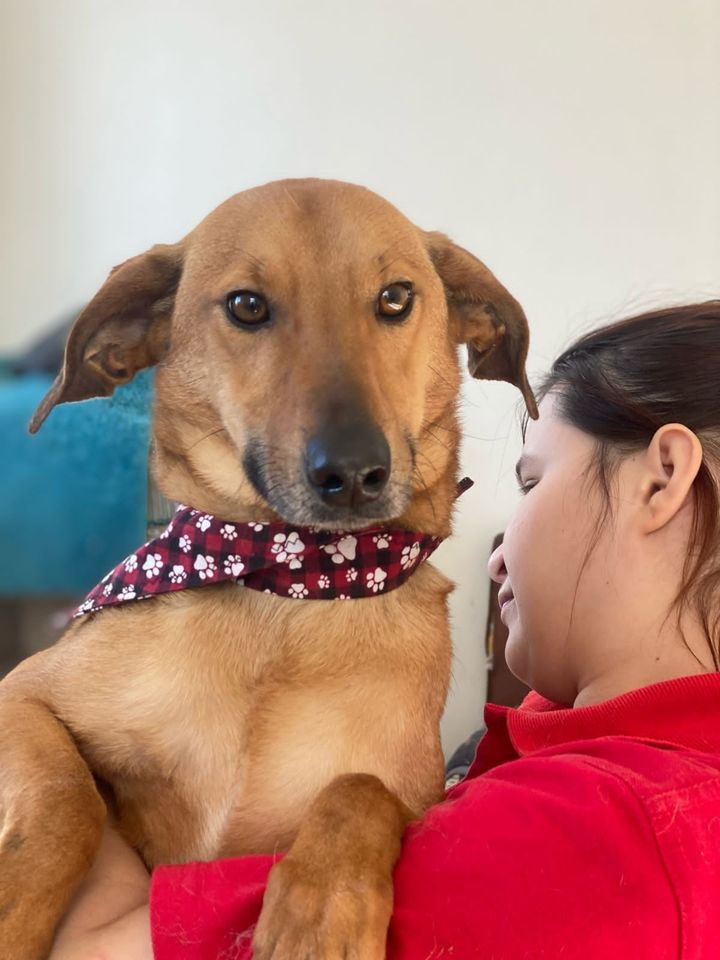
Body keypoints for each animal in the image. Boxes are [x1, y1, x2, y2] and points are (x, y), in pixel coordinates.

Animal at [0, 180, 536, 960]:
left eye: (396, 297)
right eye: (247, 306)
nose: (353, 472)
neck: (289, 583)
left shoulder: (417, 794)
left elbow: (359, 788)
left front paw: (317, 916)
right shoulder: (23, 694)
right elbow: (64, 799)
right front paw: (16, 908)